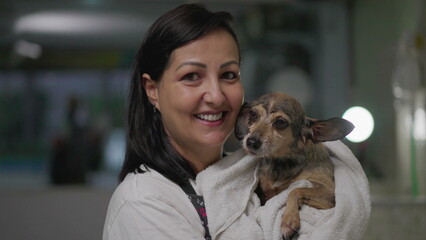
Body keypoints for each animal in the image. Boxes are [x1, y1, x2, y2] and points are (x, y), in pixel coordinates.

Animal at [235, 91, 354, 238]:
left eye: (280, 122)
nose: (251, 142)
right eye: (252, 114)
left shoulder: (329, 192)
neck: (281, 163)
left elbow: (295, 190)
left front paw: (288, 221)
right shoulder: (265, 194)